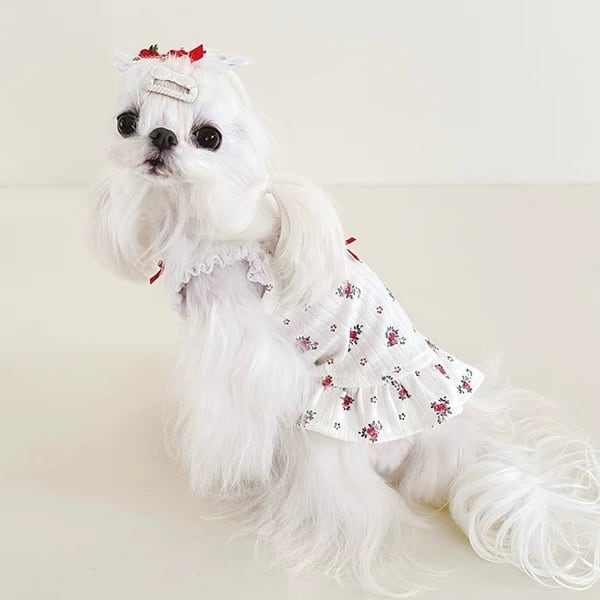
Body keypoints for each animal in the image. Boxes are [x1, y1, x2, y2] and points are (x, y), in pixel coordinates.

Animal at [90, 44, 600, 596]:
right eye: (126, 122)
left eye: (209, 137)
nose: (160, 137)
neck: (194, 215)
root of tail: (457, 444)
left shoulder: (242, 356)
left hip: (328, 437)